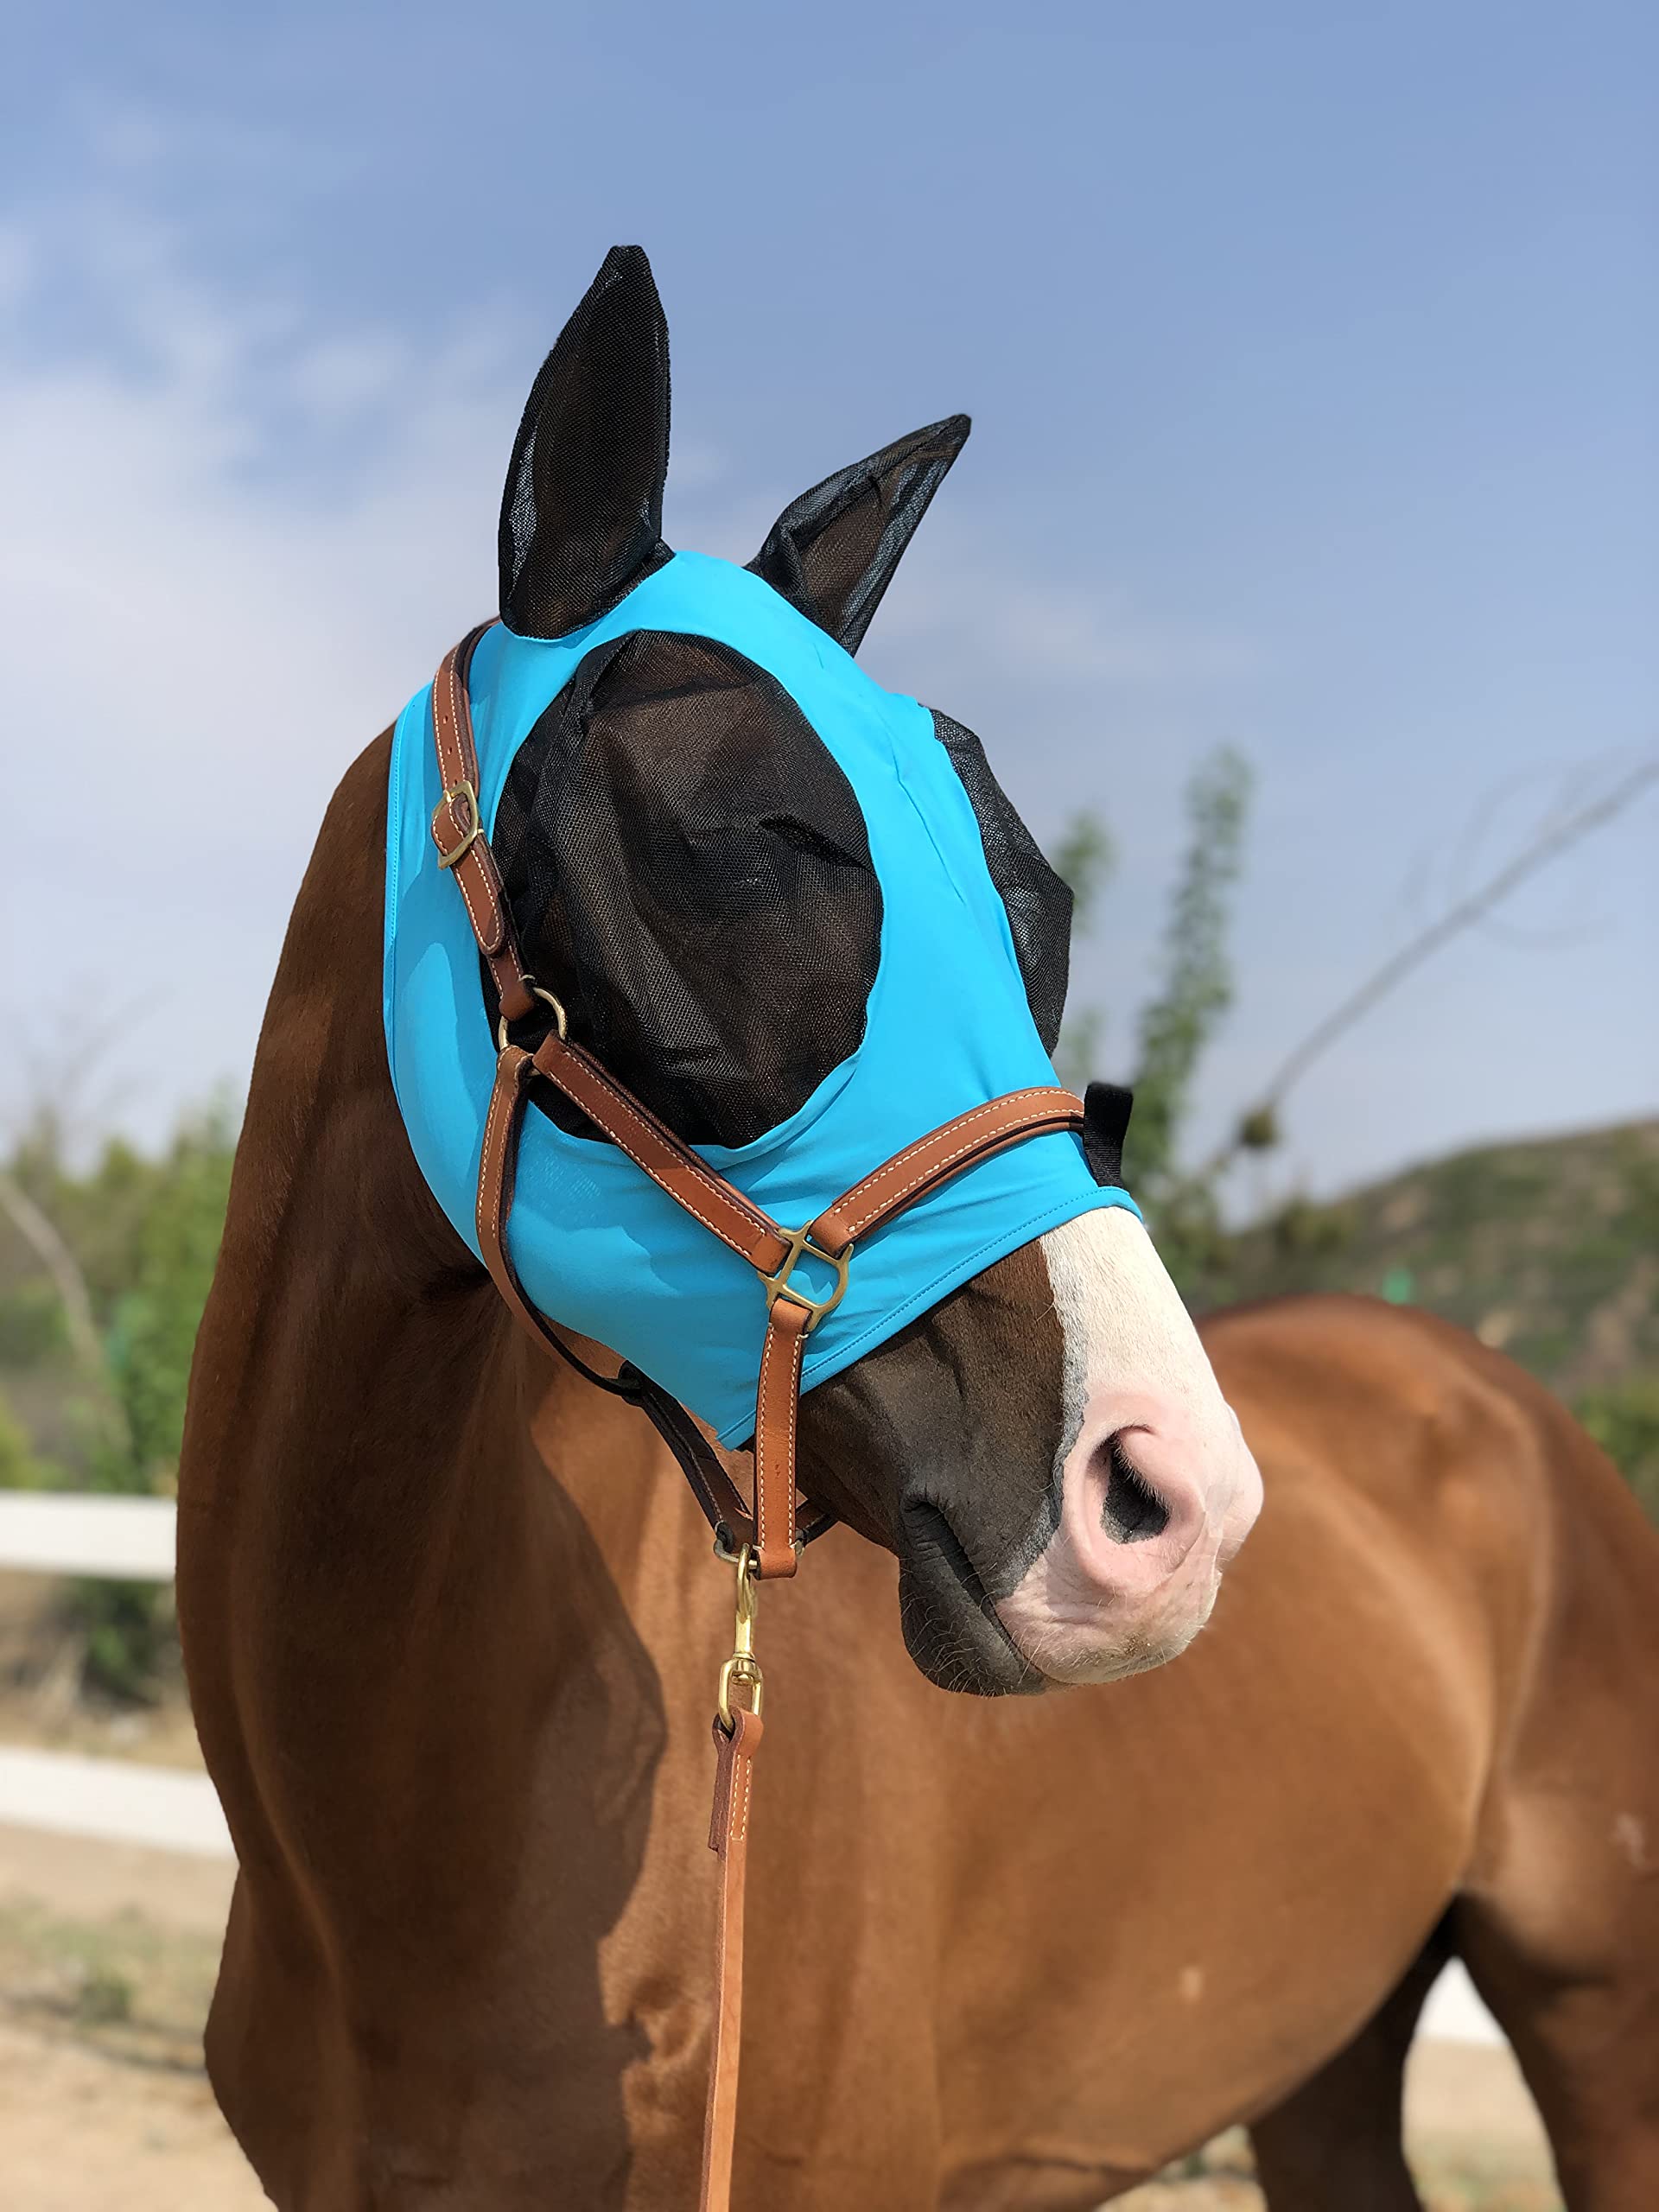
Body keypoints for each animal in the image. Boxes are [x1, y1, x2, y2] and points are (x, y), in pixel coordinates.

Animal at [176, 249, 1659, 2210]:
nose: (1173, 1505)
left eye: (1037, 898)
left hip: (1602, 2032)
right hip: (1327, 2057)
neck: (396, 1863)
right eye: (742, 838)